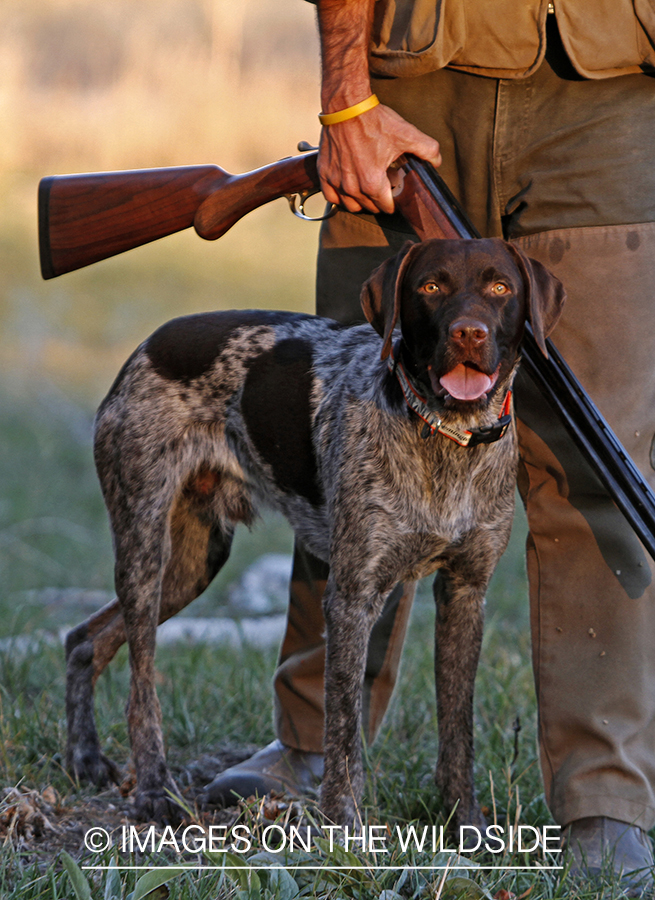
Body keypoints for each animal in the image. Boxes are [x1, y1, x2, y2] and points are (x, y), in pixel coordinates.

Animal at [62, 237, 564, 828]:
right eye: (431, 286)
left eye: (501, 287)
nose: (469, 333)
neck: (447, 435)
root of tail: (148, 344)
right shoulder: (351, 597)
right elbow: (343, 726)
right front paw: (344, 823)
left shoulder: (466, 591)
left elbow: (457, 726)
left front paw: (464, 822)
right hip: (144, 543)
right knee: (142, 687)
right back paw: (152, 791)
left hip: (191, 565)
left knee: (83, 639)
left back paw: (84, 759)